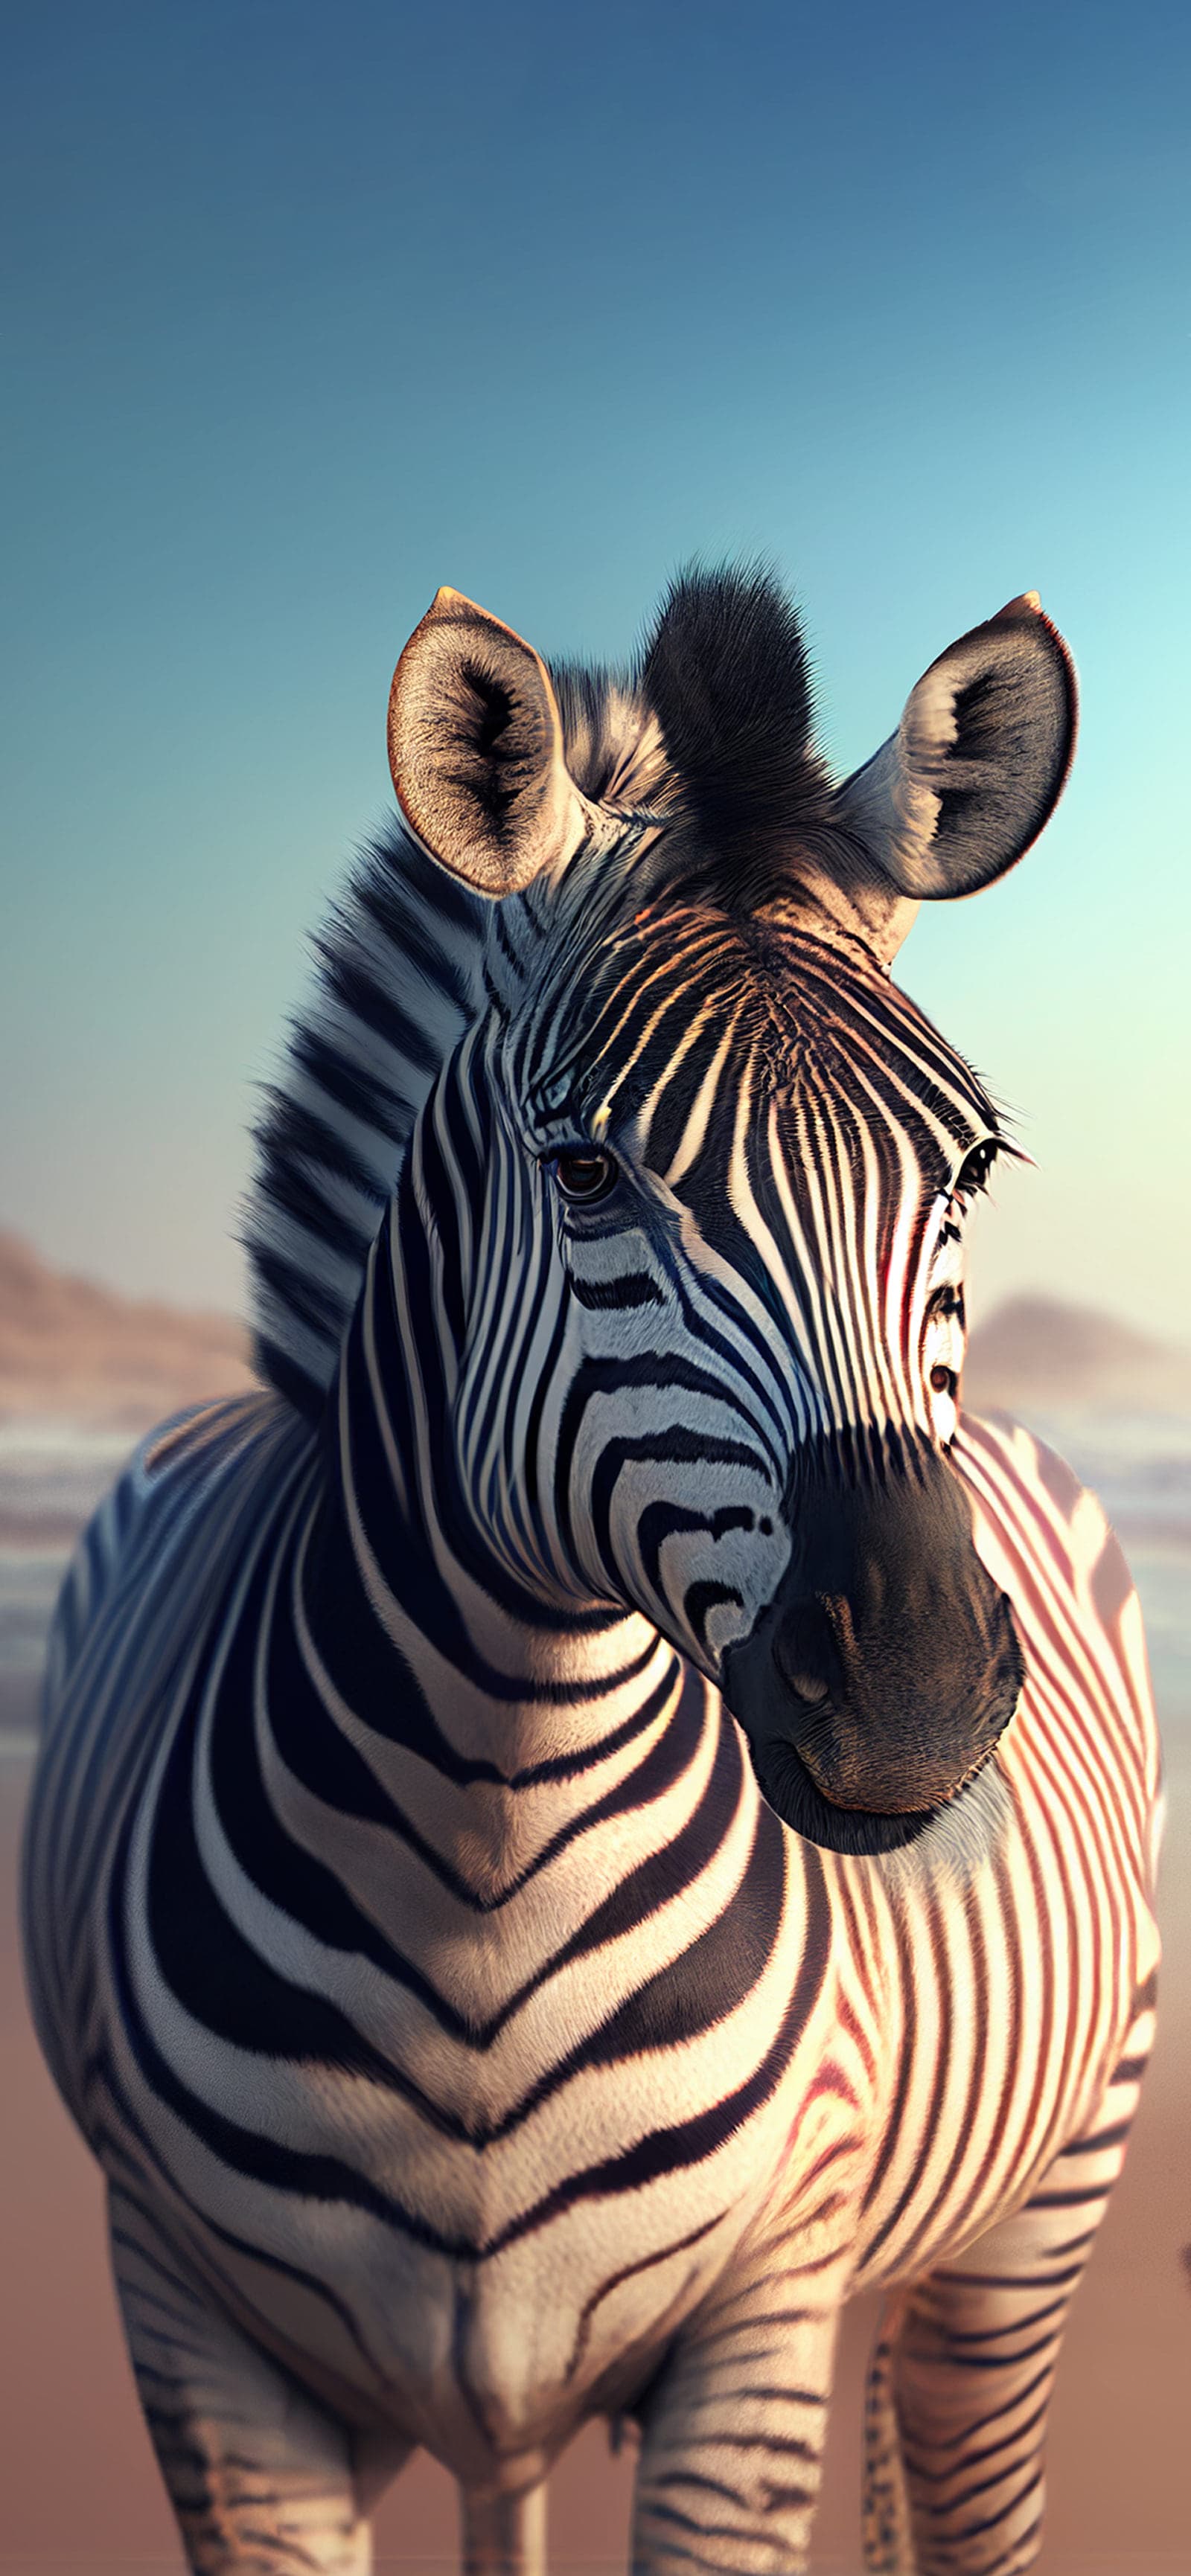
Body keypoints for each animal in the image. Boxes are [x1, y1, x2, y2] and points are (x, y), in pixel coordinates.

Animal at [22, 567, 1160, 2576]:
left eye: (965, 1168)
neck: (490, 1831)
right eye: (580, 1174)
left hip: (1034, 2209)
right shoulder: (195, 2332)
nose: (914, 1699)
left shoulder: (763, 2317)